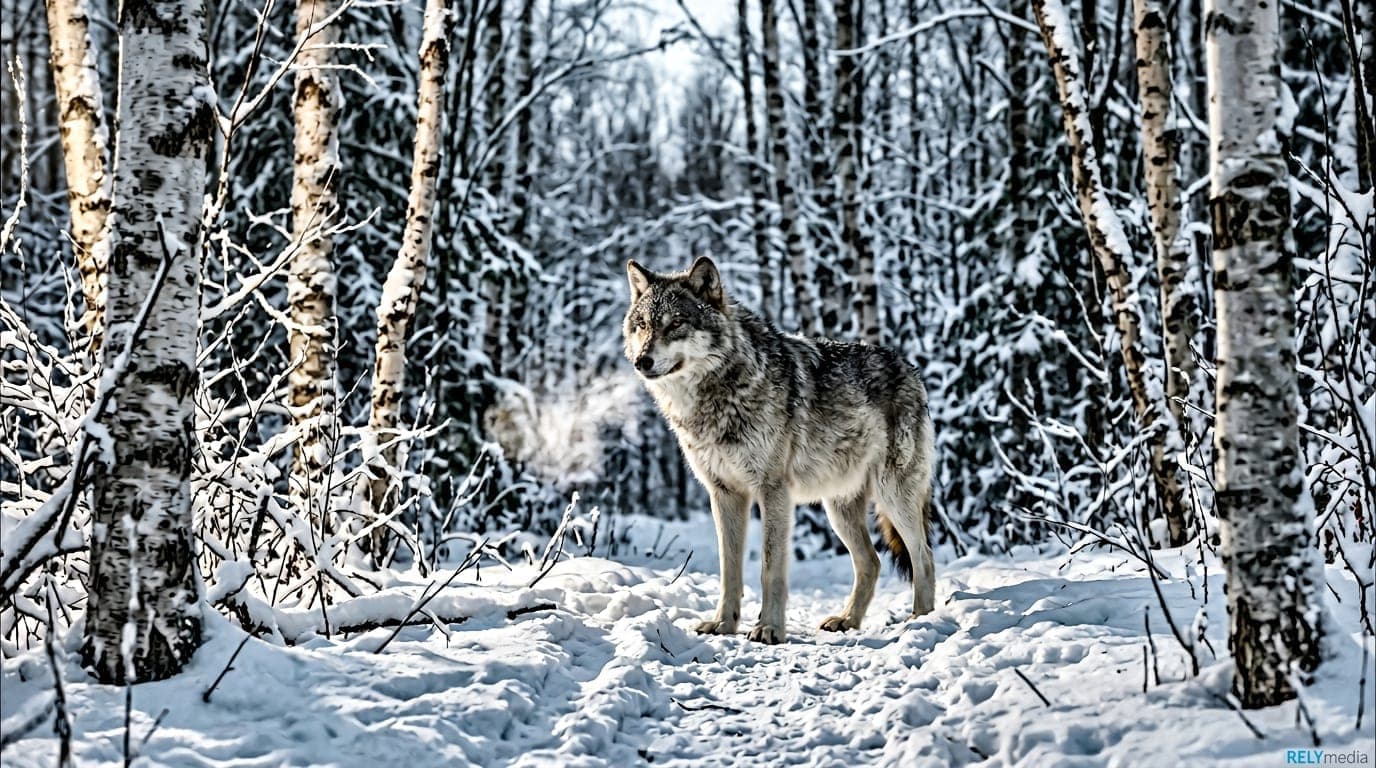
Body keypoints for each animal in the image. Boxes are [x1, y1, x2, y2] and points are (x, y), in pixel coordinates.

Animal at [623, 256, 936, 644]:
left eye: (676, 323)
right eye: (642, 325)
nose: (642, 361)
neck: (719, 393)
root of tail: (909, 369)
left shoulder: (772, 491)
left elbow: (770, 567)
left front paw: (769, 628)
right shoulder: (724, 493)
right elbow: (729, 570)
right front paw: (724, 624)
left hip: (893, 496)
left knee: (923, 557)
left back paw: (920, 622)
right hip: (839, 509)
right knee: (872, 562)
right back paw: (847, 620)